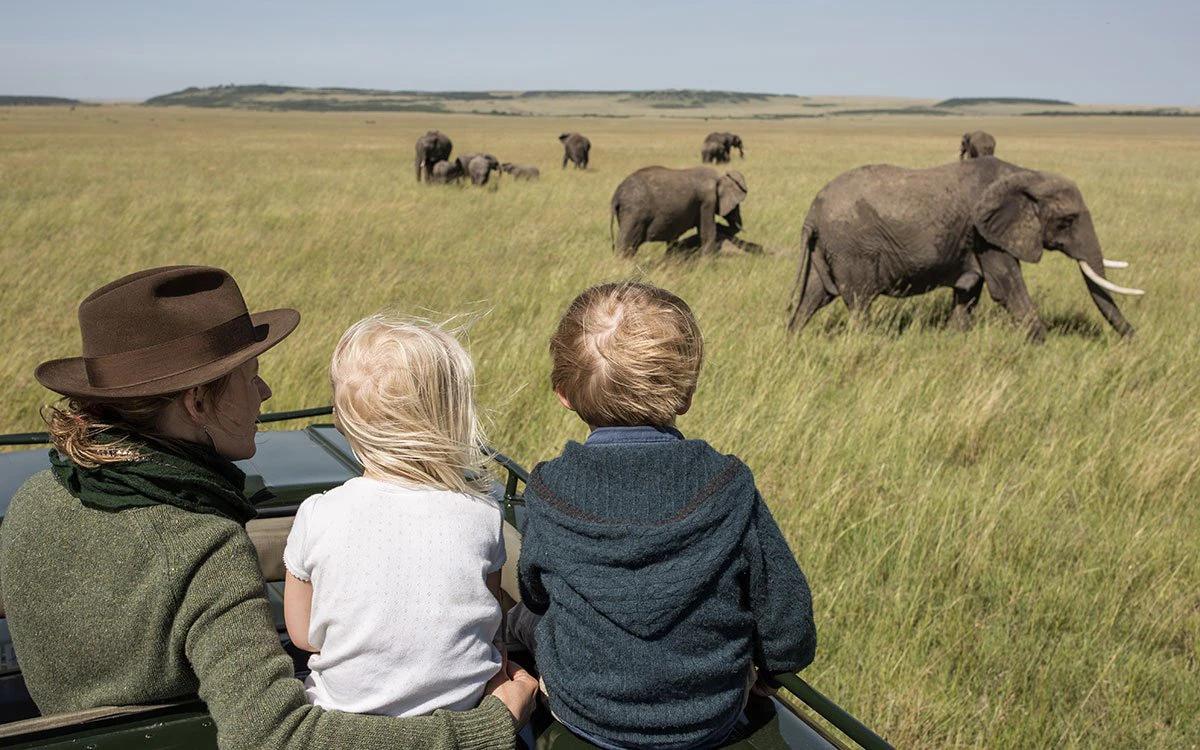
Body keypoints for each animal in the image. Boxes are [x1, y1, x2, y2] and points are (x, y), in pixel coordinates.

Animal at [610, 166, 748, 258]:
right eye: (736, 205)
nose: (720, 224)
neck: (719, 175)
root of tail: (616, 195)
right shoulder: (707, 201)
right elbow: (708, 233)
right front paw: (706, 265)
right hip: (634, 213)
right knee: (627, 243)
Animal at [786, 156, 1144, 341]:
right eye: (1067, 221)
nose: (1133, 339)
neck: (1025, 175)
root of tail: (812, 212)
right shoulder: (986, 234)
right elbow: (1007, 288)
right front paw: (1040, 348)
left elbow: (969, 292)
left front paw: (956, 341)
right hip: (852, 247)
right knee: (859, 301)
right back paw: (866, 343)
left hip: (829, 248)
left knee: (813, 297)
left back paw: (792, 340)